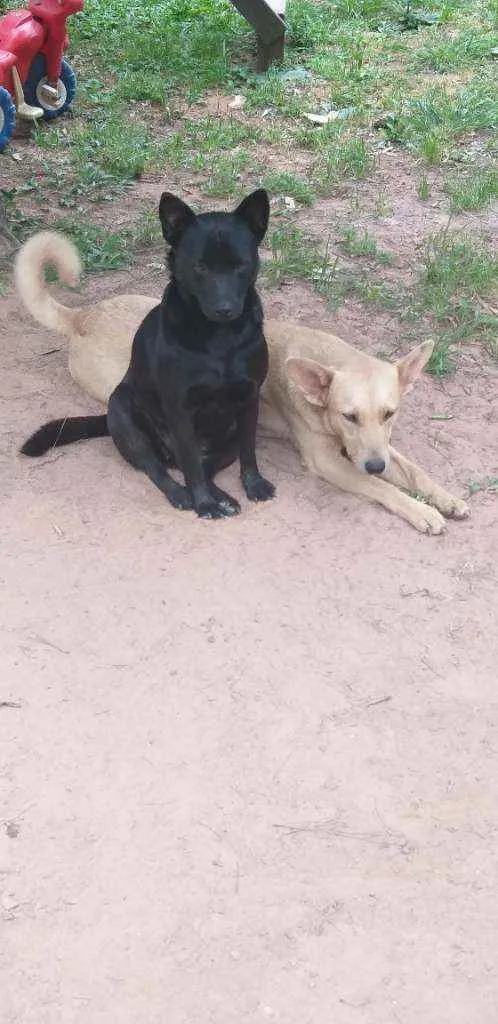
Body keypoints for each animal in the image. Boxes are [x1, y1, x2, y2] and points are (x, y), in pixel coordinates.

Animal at [14, 228, 467, 532]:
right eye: (348, 416)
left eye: (390, 414)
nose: (374, 465)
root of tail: (82, 316)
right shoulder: (328, 460)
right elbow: (385, 489)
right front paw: (422, 511)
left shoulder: (380, 447)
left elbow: (414, 472)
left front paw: (446, 498)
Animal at [21, 190, 274, 520]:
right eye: (201, 267)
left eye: (240, 266)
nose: (225, 309)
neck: (220, 340)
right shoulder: (179, 408)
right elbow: (191, 466)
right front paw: (203, 503)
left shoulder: (249, 399)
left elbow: (249, 452)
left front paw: (253, 485)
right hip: (125, 415)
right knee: (161, 469)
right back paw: (184, 495)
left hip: (225, 437)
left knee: (204, 466)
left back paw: (224, 498)